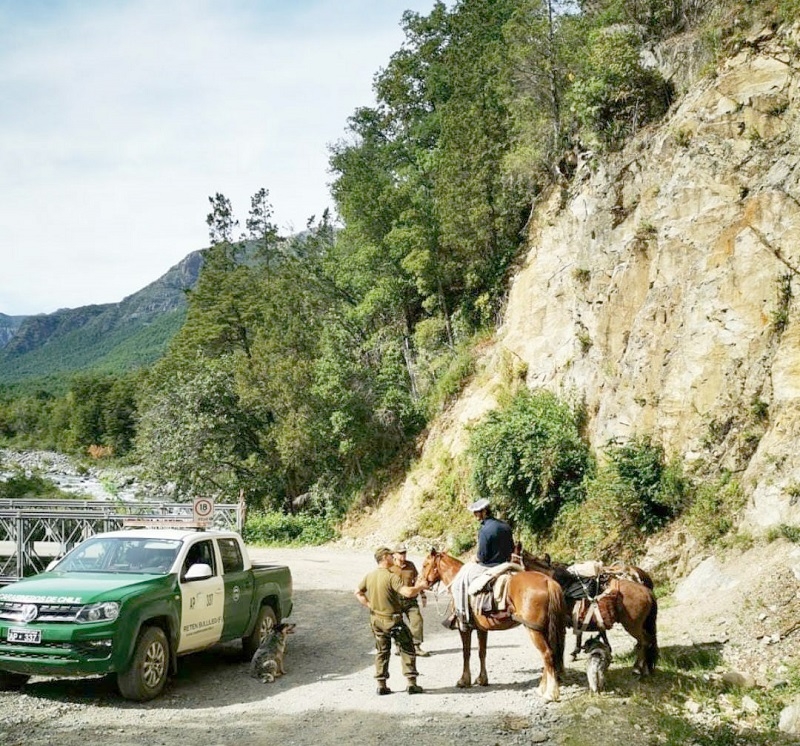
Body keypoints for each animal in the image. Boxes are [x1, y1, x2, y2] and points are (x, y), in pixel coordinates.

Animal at [422, 548, 564, 696]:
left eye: (425, 565)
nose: (422, 582)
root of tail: (548, 582)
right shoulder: (481, 629)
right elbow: (482, 652)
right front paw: (482, 679)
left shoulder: (464, 628)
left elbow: (466, 653)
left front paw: (464, 680)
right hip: (545, 629)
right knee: (550, 654)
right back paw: (543, 688)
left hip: (534, 630)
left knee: (547, 654)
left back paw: (550, 693)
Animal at [516, 540, 660, 676]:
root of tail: (647, 591)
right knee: (647, 642)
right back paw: (645, 668)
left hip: (632, 625)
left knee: (645, 642)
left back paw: (637, 668)